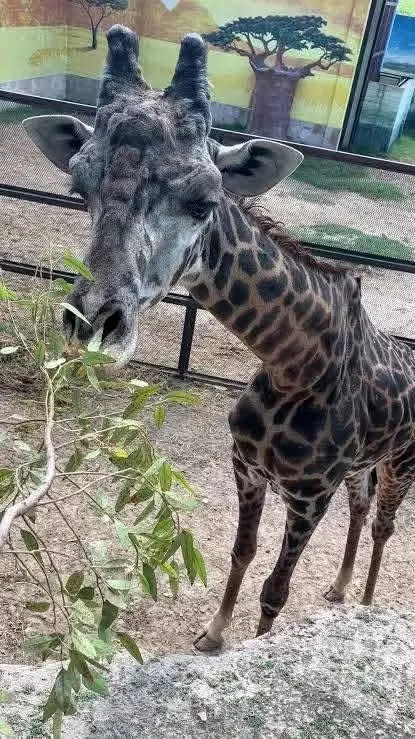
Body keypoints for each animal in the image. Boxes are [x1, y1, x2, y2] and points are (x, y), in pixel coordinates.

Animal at [23, 26, 415, 651]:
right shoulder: (248, 468)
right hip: (362, 467)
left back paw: (369, 603)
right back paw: (339, 590)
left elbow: (275, 591)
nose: (93, 327)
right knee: (363, 509)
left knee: (385, 523)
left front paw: (255, 646)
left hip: (401, 462)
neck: (293, 363)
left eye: (205, 200)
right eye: (78, 187)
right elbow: (241, 552)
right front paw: (213, 635)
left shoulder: (310, 494)